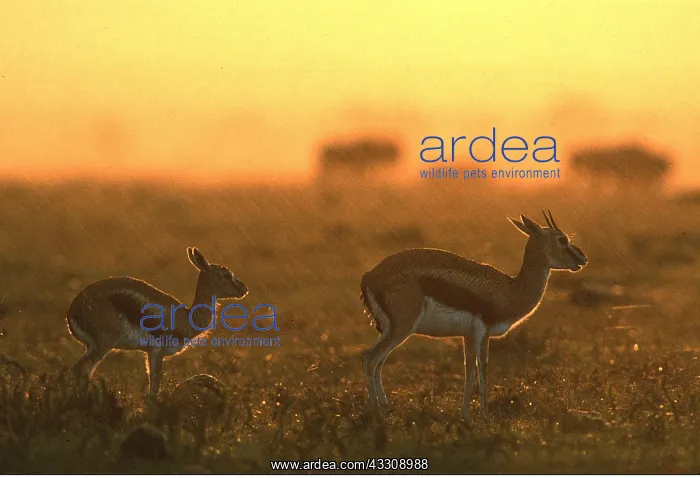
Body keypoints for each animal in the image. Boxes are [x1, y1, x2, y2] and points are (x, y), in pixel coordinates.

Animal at [67, 247, 248, 396]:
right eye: (227, 275)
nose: (244, 289)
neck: (186, 317)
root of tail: (74, 309)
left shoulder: (149, 353)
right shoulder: (156, 352)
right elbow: (153, 391)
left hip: (92, 347)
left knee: (82, 373)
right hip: (103, 346)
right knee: (77, 370)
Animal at [360, 211, 587, 421]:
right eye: (562, 239)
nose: (583, 259)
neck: (510, 289)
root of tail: (369, 276)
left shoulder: (470, 335)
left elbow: (470, 370)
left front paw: (466, 416)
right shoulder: (481, 331)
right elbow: (481, 368)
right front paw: (484, 416)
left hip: (392, 331)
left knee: (377, 362)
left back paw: (386, 409)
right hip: (402, 329)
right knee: (370, 359)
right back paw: (376, 414)